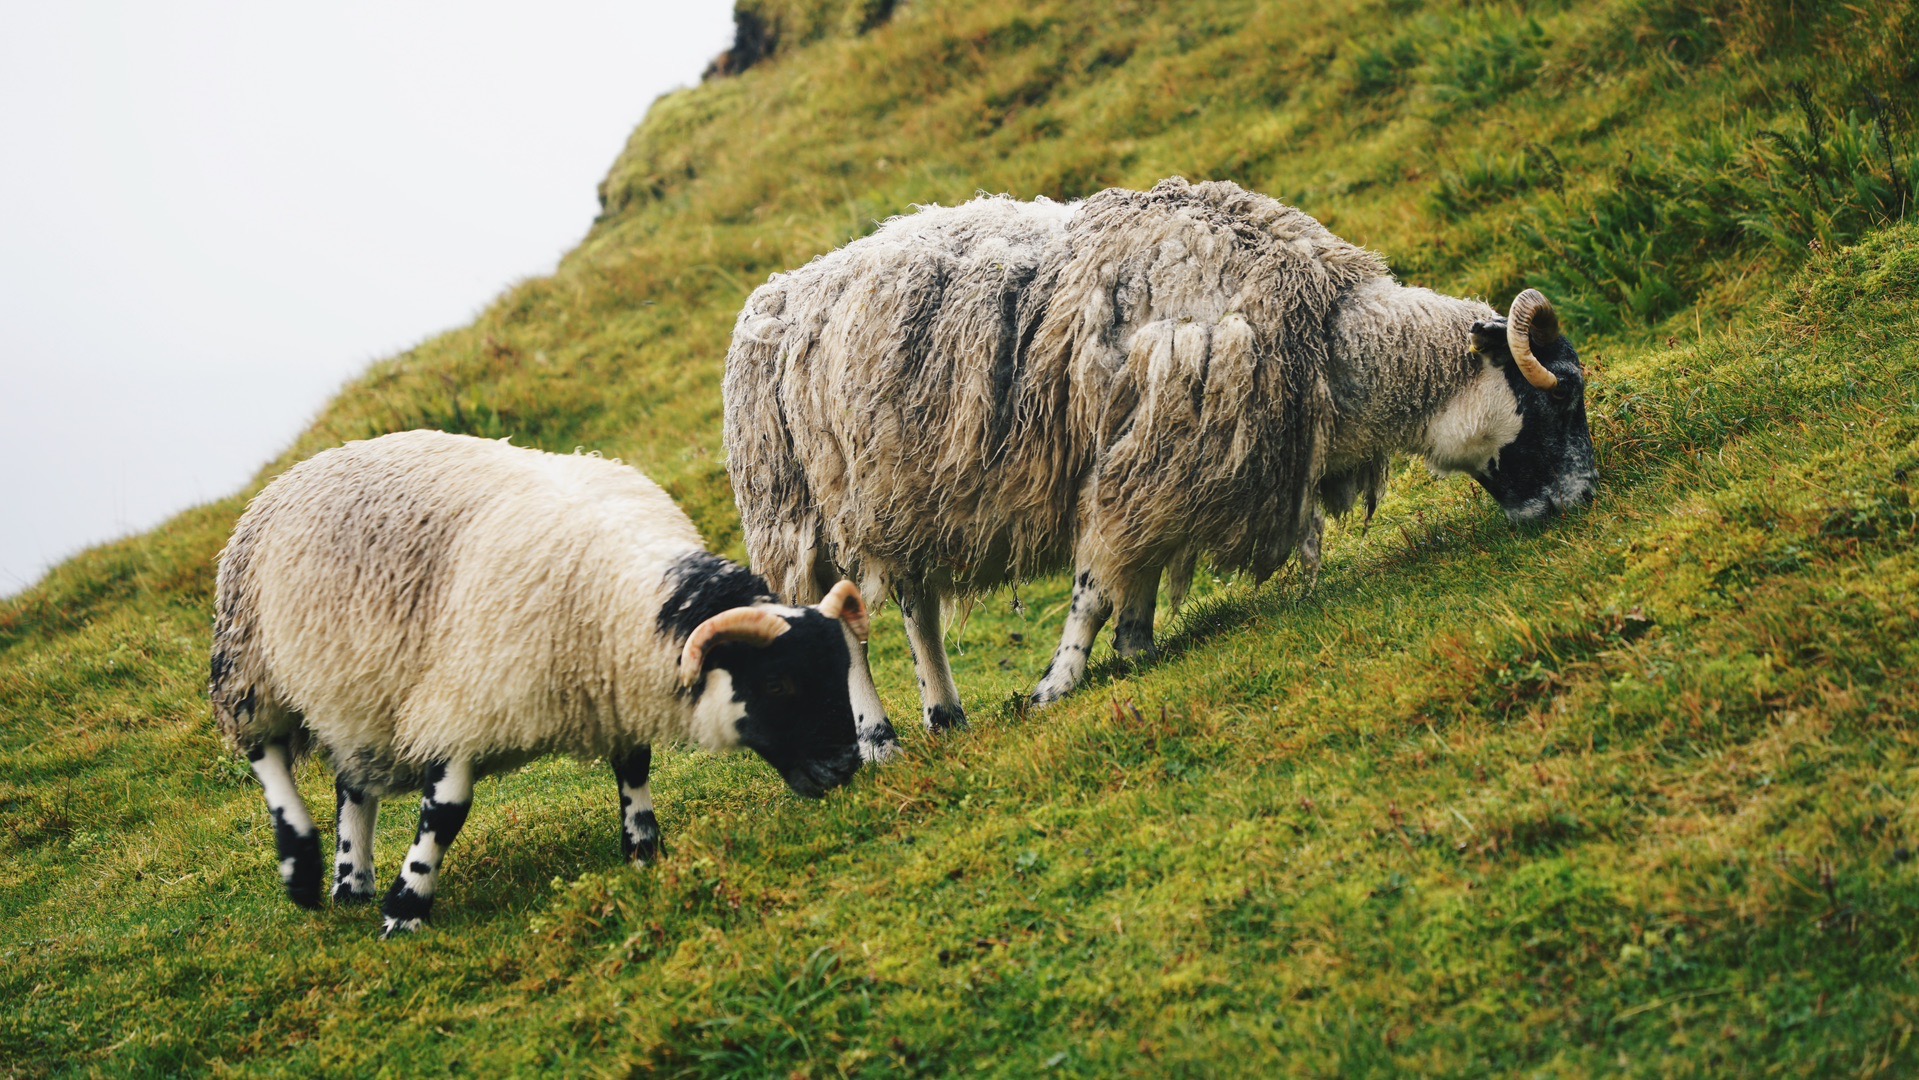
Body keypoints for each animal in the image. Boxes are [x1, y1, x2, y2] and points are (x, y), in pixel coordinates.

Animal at [210, 431, 898, 939]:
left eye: (838, 672)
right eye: (778, 684)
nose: (843, 767)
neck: (612, 582)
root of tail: (310, 462)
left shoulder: (612, 686)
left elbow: (634, 768)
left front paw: (642, 851)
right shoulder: (465, 698)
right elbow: (446, 814)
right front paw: (407, 911)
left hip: (358, 692)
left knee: (352, 786)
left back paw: (352, 883)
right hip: (251, 666)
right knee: (267, 756)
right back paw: (302, 867)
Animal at [725, 177, 1596, 725]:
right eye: (1553, 397)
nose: (1582, 498)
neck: (1327, 343)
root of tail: (771, 295)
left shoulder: (1162, 469)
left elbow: (1133, 571)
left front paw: (1138, 647)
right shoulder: (1143, 456)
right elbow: (1091, 586)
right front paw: (1058, 683)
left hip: (898, 499)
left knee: (915, 608)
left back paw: (944, 713)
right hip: (797, 513)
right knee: (832, 620)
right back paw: (878, 738)